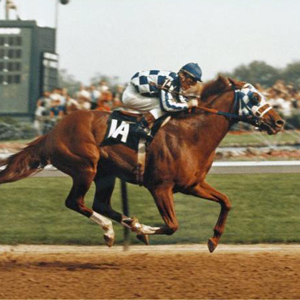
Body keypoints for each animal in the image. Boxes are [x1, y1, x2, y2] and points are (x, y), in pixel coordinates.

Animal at [0, 75, 284, 251]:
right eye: (255, 98)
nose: (279, 122)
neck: (192, 134)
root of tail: (52, 132)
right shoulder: (160, 187)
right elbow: (172, 226)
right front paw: (142, 229)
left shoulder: (192, 184)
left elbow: (226, 201)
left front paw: (214, 239)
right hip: (85, 167)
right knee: (75, 202)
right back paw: (110, 231)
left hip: (105, 174)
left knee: (100, 203)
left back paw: (122, 225)